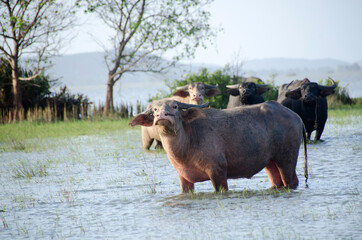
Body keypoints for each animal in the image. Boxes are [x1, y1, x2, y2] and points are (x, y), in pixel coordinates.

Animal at [129, 98, 306, 192]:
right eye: (155, 109)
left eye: (175, 106)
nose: (162, 116)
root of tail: (295, 116)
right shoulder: (184, 179)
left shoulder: (218, 172)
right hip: (271, 162)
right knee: (277, 181)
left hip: (286, 160)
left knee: (291, 180)